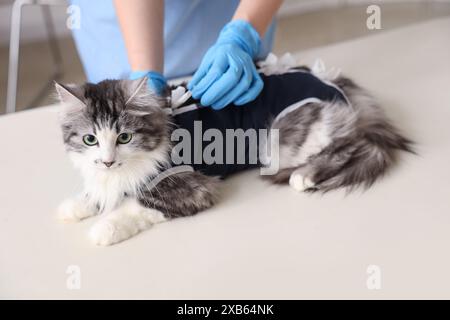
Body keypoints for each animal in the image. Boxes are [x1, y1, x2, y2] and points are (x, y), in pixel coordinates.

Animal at [54, 63, 414, 246]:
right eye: (90, 139)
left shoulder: (189, 187)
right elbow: (95, 192)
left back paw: (304, 176)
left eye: (124, 137)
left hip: (278, 142)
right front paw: (71, 208)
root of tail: (332, 81)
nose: (108, 159)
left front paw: (103, 230)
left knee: (355, 146)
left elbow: (136, 206)